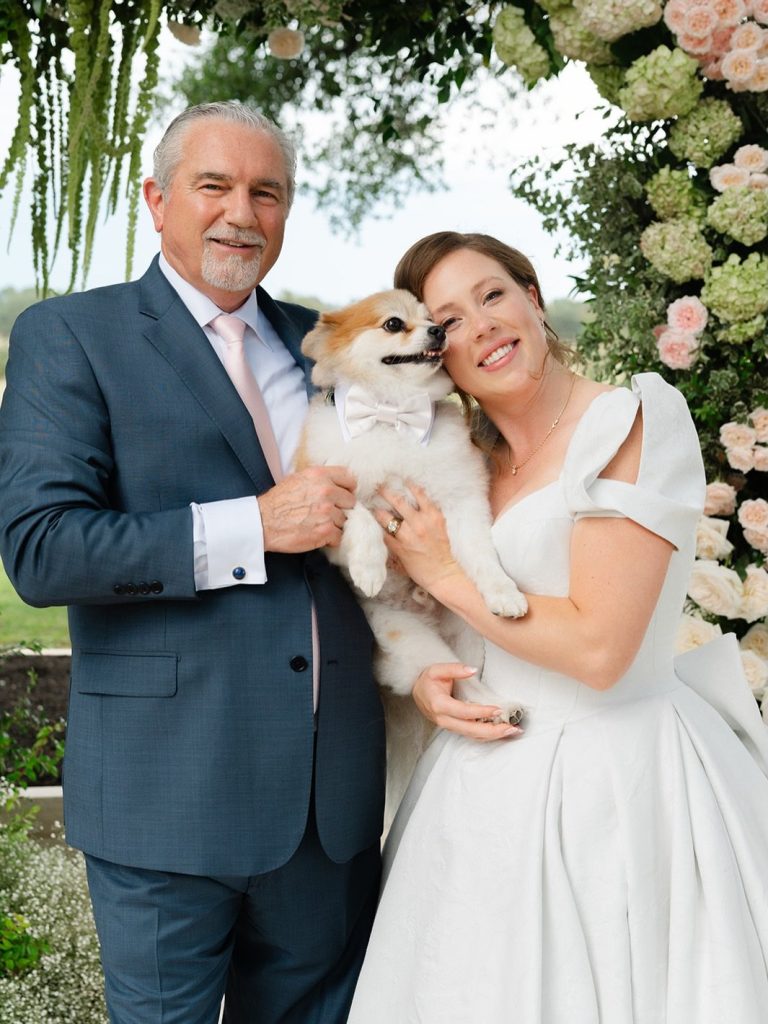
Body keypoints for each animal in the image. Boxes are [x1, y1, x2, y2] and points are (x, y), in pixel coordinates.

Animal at [296, 289, 526, 817]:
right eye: (394, 324)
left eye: (435, 318)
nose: (439, 332)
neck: (391, 416)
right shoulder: (324, 506)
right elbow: (360, 513)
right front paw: (370, 566)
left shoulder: (462, 502)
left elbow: (480, 555)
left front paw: (503, 591)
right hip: (412, 641)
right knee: (450, 680)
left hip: (469, 640)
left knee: (466, 680)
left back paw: (499, 708)